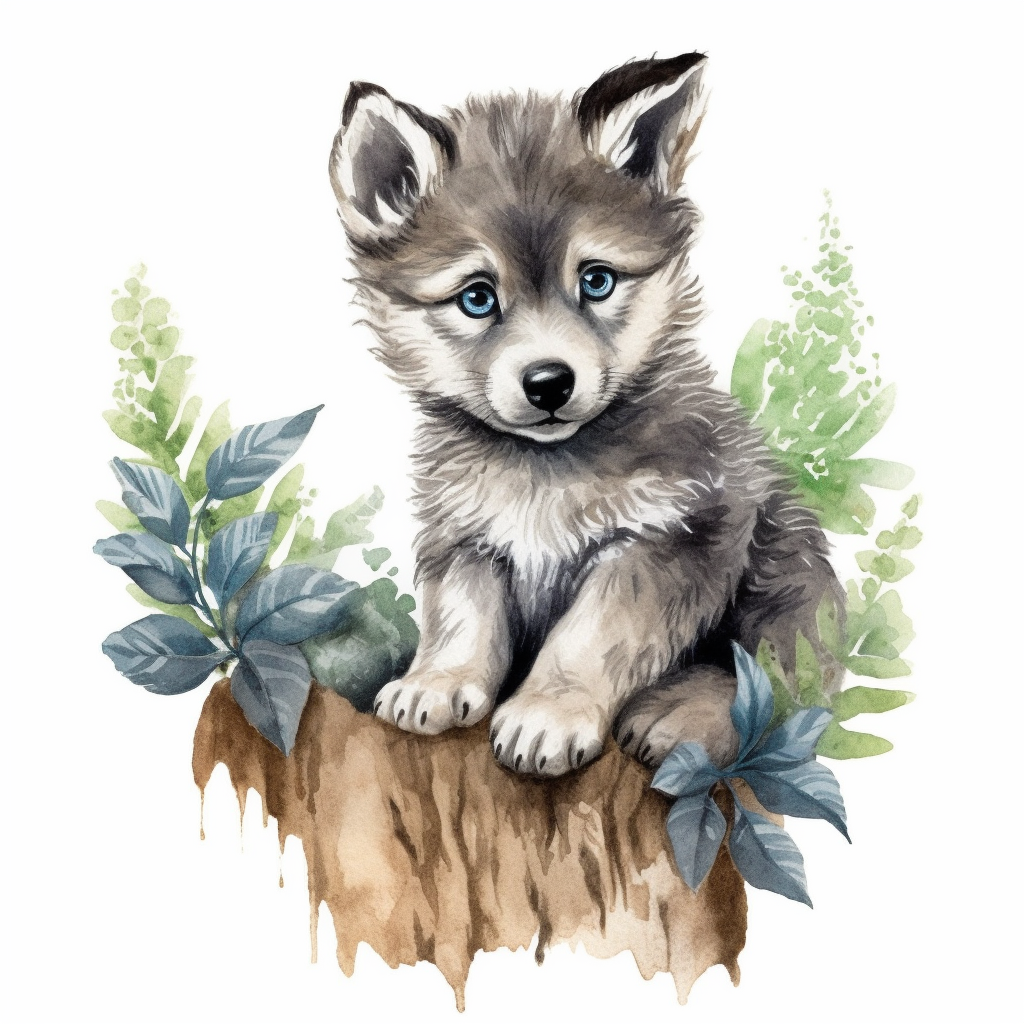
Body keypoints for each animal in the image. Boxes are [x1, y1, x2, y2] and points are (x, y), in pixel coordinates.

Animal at [328, 53, 845, 777]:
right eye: (477, 298)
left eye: (596, 280)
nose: (549, 382)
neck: (545, 468)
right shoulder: (465, 536)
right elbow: (461, 618)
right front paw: (437, 682)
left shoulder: (675, 534)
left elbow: (594, 633)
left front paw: (549, 711)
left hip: (786, 574)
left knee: (772, 679)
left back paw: (681, 714)